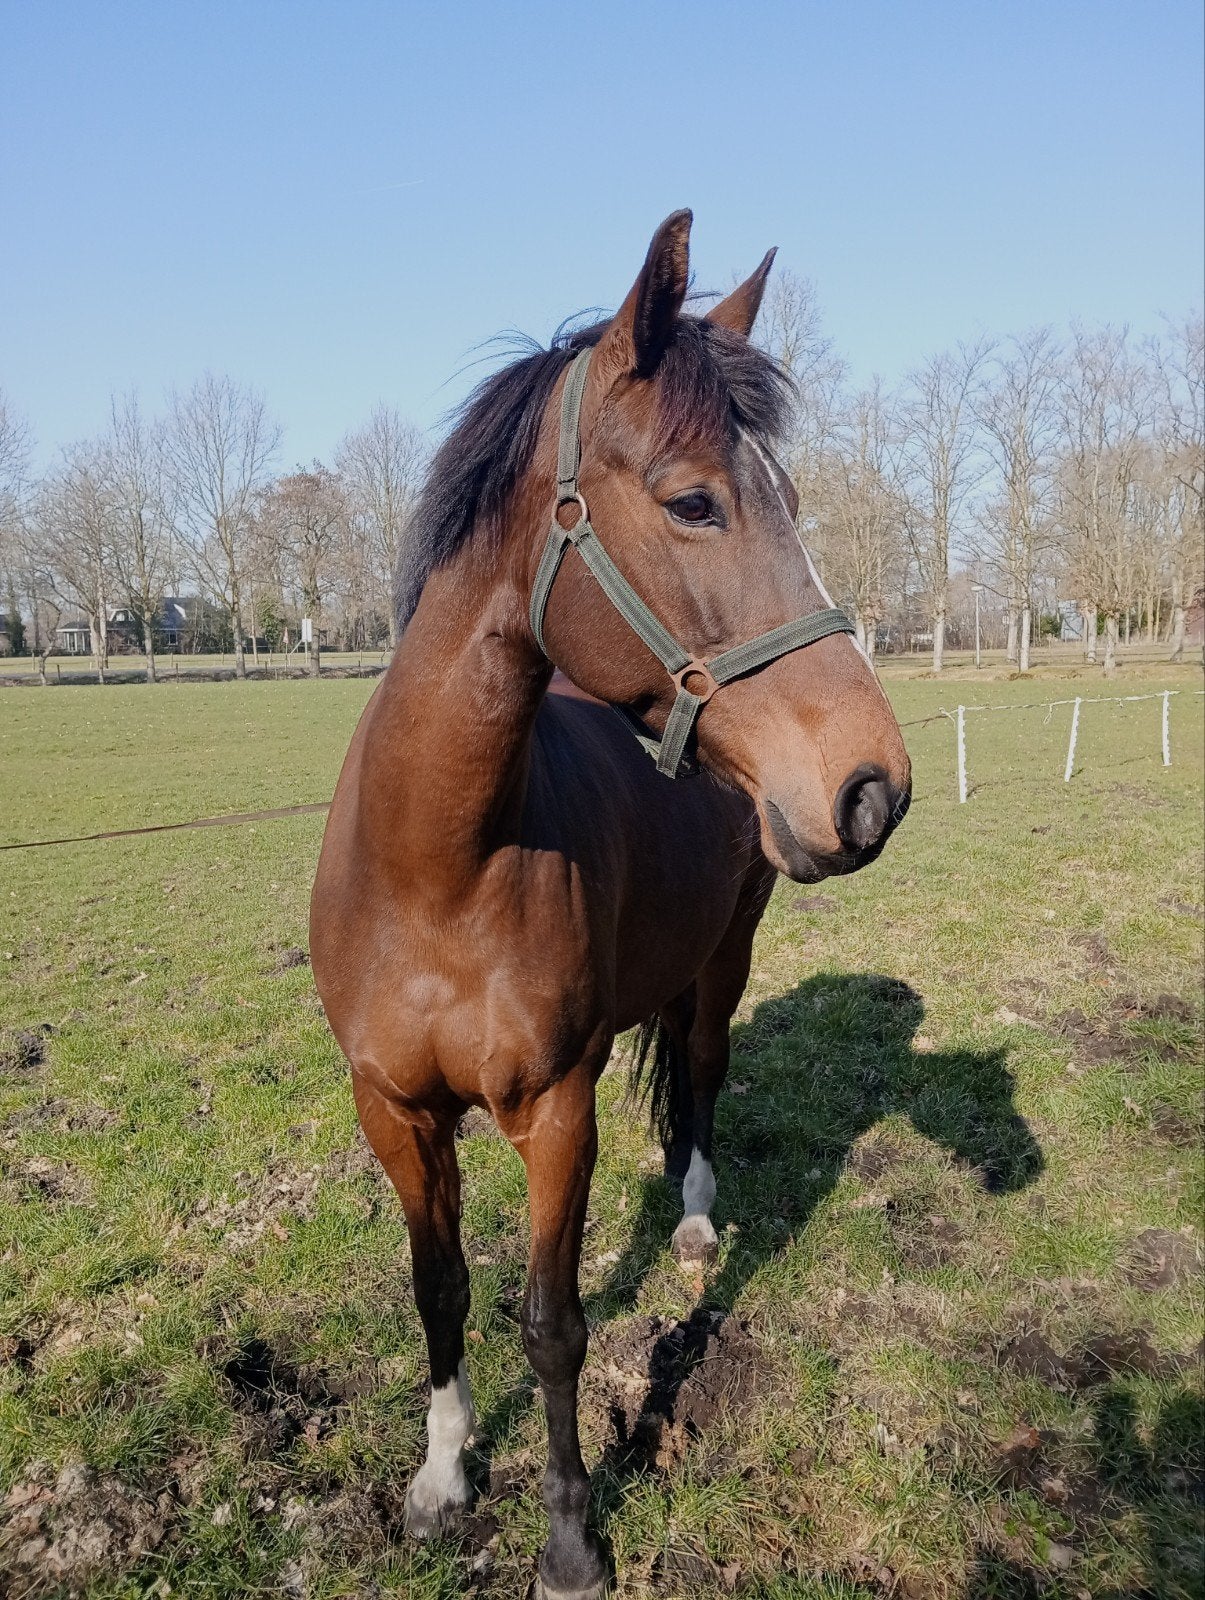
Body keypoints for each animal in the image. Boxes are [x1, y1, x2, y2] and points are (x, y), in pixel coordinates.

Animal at [310, 210, 912, 1600]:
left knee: (701, 1066)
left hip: (728, 951)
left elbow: (553, 1323)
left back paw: (691, 1226)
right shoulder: (393, 1111)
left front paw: (572, 1538)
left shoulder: (555, 1111)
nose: (872, 788)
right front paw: (440, 1480)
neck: (438, 869)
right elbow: (438, 1290)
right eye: (694, 501)